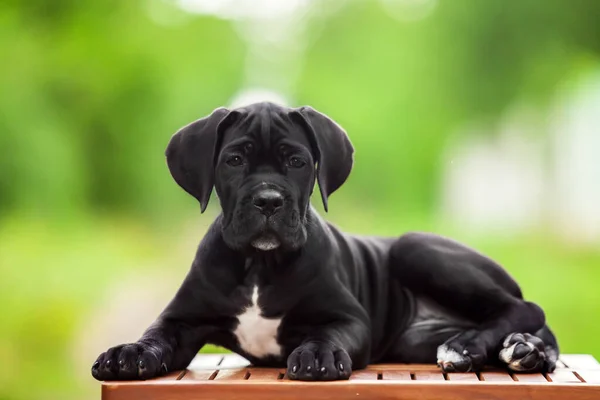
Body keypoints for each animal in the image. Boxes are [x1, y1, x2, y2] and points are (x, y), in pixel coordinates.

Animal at [91, 101, 560, 382]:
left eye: (298, 162)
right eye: (234, 160)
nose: (268, 200)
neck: (259, 266)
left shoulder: (350, 319)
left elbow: (328, 333)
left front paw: (318, 354)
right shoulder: (182, 321)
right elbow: (156, 334)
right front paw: (129, 352)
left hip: (415, 247)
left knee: (525, 307)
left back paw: (472, 347)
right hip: (415, 337)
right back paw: (525, 351)